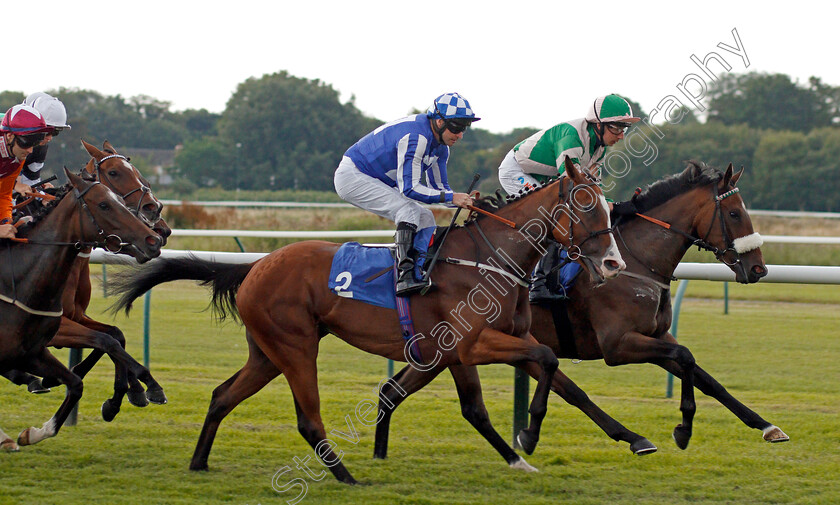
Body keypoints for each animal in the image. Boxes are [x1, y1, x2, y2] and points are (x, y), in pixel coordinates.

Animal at [2, 141, 174, 418]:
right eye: (114, 172)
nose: (159, 227)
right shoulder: (57, 326)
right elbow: (106, 341)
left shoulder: (76, 316)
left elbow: (115, 335)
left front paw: (129, 393)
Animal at [106, 158, 632, 480]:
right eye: (585, 205)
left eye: (608, 207)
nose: (612, 263)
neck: (488, 260)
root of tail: (256, 265)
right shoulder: (470, 346)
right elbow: (519, 378)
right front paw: (527, 437)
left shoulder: (471, 349)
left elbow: (539, 381)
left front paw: (541, 447)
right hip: (296, 347)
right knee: (308, 418)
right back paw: (344, 475)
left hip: (268, 352)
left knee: (221, 395)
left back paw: (199, 462)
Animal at [374, 160, 788, 468]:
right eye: (734, 213)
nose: (758, 269)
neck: (638, 260)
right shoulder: (618, 345)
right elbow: (685, 358)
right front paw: (683, 429)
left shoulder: (655, 336)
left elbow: (704, 375)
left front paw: (767, 426)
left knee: (397, 390)